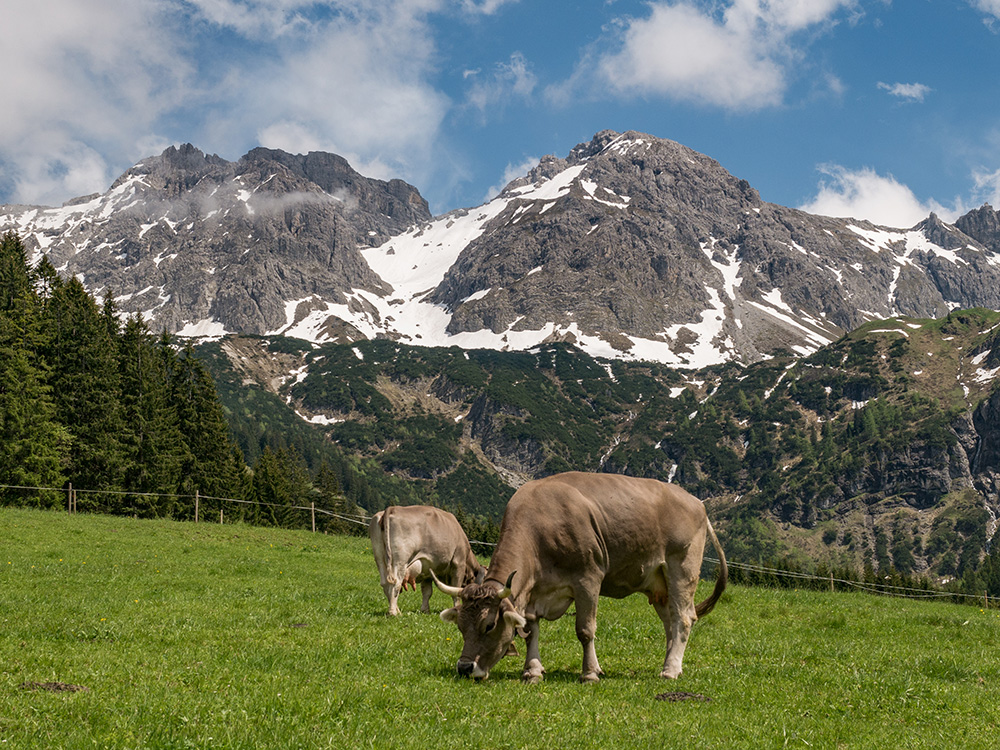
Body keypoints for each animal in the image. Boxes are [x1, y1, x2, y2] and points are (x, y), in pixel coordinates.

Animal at [432, 472, 728, 684]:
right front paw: (532, 671)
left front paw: (590, 673)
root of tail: (696, 502)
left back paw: (670, 670)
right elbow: (530, 631)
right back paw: (670, 664)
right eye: (460, 626)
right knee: (670, 623)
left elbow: (585, 630)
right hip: (658, 583)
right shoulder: (535, 592)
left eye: (489, 625)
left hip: (682, 568)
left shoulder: (588, 578)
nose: (464, 668)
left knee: (684, 618)